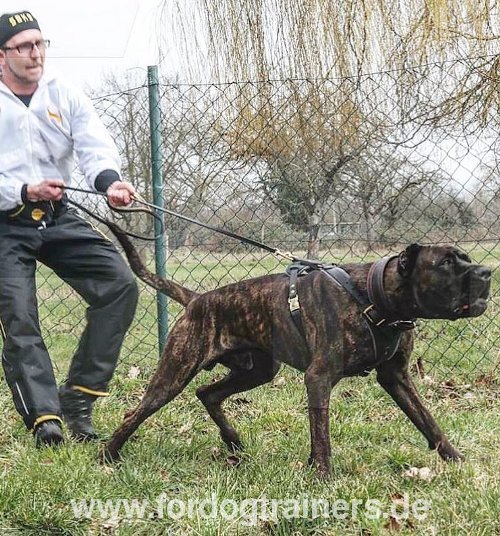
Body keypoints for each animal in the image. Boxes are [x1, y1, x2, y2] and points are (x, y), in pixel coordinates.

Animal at [100, 223, 488, 478]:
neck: (373, 297)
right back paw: (107, 455)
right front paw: (322, 476)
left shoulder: (397, 378)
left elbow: (428, 421)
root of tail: (197, 298)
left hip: (256, 370)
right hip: (175, 372)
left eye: (465, 257)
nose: (485, 272)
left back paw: (233, 443)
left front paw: (455, 459)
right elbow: (321, 434)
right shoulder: (319, 378)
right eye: (445, 263)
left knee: (207, 393)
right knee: (137, 412)